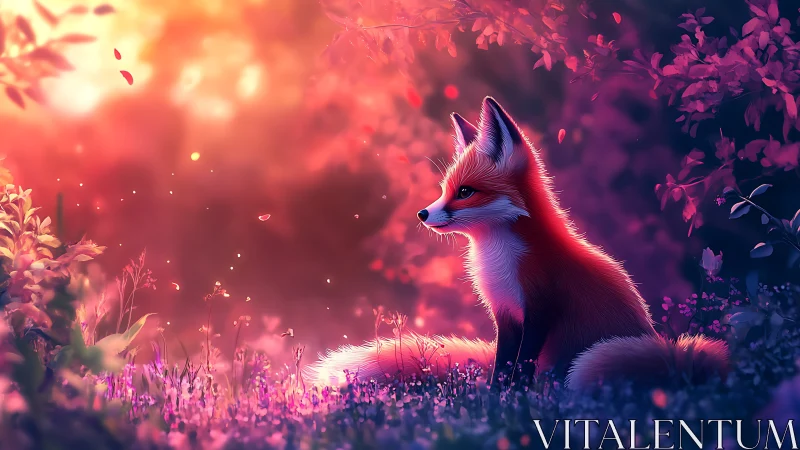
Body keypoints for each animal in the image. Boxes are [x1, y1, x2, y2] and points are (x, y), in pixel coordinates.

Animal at [306, 96, 729, 390]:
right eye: (444, 190)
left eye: (465, 192)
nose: (423, 214)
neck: (499, 260)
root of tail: (670, 353)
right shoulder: (506, 314)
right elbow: (502, 366)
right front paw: (496, 400)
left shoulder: (540, 309)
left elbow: (522, 367)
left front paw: (516, 401)